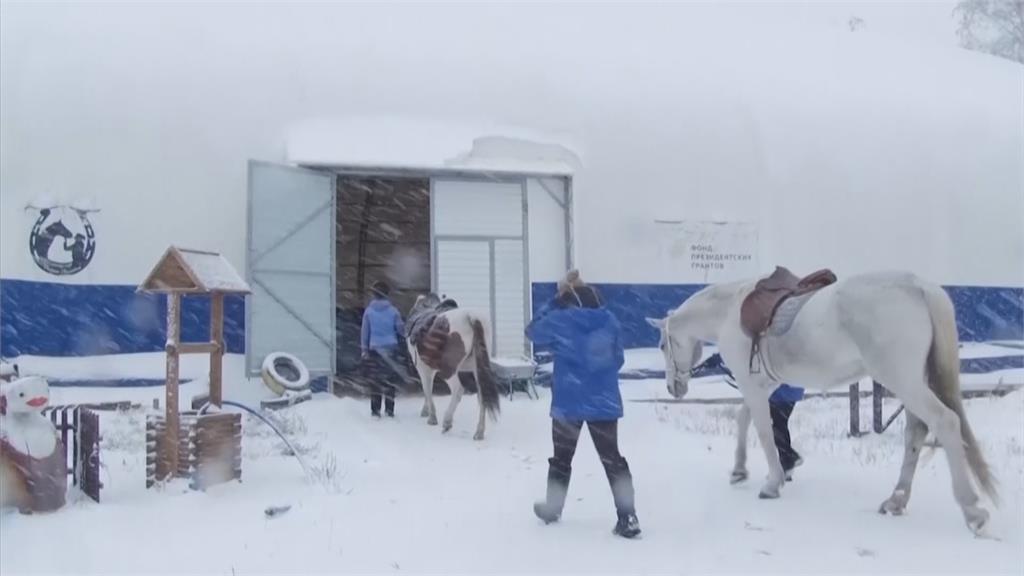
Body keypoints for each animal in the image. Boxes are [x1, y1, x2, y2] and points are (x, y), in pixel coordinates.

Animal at [403, 295, 499, 438]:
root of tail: (471, 317)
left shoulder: (424, 369)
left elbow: (427, 389)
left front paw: (431, 417)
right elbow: (428, 389)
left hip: (448, 371)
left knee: (458, 390)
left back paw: (447, 422)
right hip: (479, 370)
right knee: (482, 395)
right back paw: (479, 432)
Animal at [647, 270, 999, 532]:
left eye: (663, 345)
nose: (673, 387)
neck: (729, 312)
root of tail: (920, 286)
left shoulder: (753, 387)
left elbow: (763, 432)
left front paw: (772, 483)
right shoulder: (762, 386)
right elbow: (745, 420)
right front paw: (739, 470)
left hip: (903, 381)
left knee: (945, 422)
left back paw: (972, 510)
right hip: (911, 383)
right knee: (916, 431)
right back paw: (896, 500)